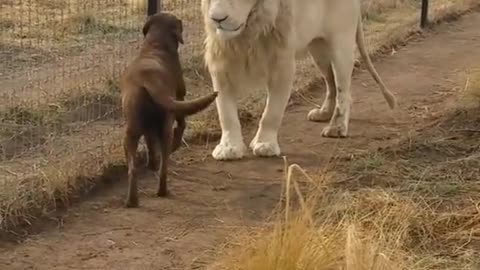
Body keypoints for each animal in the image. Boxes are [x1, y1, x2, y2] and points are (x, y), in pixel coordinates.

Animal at [120, 11, 218, 208]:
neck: (155, 44)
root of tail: (148, 81)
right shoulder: (180, 97)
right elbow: (182, 124)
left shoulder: (149, 128)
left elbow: (150, 144)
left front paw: (151, 163)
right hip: (164, 125)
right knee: (165, 159)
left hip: (133, 132)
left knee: (136, 168)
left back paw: (134, 199)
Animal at [201, 0, 396, 160]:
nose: (217, 19)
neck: (247, 35)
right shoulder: (221, 67)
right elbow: (226, 113)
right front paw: (229, 148)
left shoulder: (282, 65)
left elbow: (271, 112)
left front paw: (265, 144)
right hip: (318, 49)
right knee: (331, 83)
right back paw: (324, 113)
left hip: (341, 44)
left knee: (343, 90)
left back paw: (337, 127)